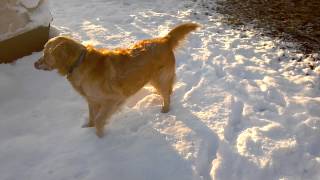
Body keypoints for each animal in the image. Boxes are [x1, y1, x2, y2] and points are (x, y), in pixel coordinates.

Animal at [35, 22, 200, 138]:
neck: (78, 63)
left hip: (160, 79)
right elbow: (92, 117)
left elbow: (99, 121)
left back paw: (165, 109)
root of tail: (164, 39)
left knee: (167, 95)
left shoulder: (113, 99)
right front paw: (88, 128)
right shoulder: (92, 100)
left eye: (45, 53)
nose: (34, 63)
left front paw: (99, 138)